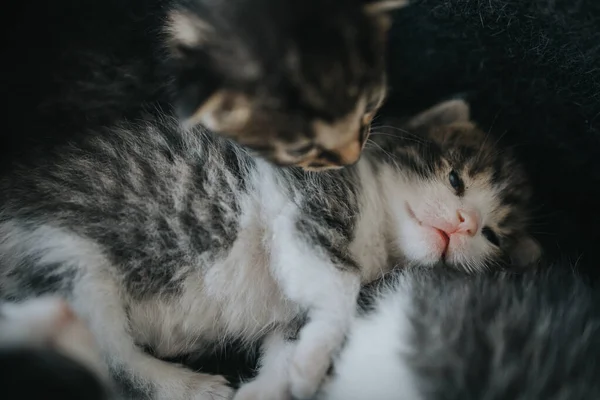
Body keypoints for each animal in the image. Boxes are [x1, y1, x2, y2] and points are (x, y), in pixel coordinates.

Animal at [0, 99, 540, 400]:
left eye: (493, 235)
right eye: (455, 180)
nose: (466, 223)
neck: (380, 235)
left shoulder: (293, 309)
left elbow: (288, 342)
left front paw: (283, 379)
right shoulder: (305, 206)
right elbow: (342, 286)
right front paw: (312, 366)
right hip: (62, 254)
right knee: (112, 355)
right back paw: (185, 386)